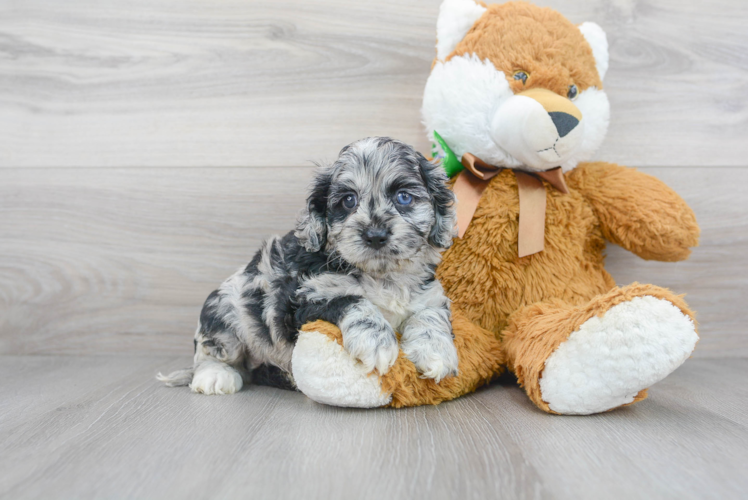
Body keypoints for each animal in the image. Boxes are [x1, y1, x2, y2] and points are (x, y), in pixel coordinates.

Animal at [159, 137, 458, 394]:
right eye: (348, 200)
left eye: (403, 197)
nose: (375, 235)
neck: (380, 275)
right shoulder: (303, 302)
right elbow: (352, 300)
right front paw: (377, 341)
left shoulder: (429, 295)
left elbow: (429, 315)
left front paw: (435, 352)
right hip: (225, 312)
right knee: (213, 353)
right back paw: (215, 376)